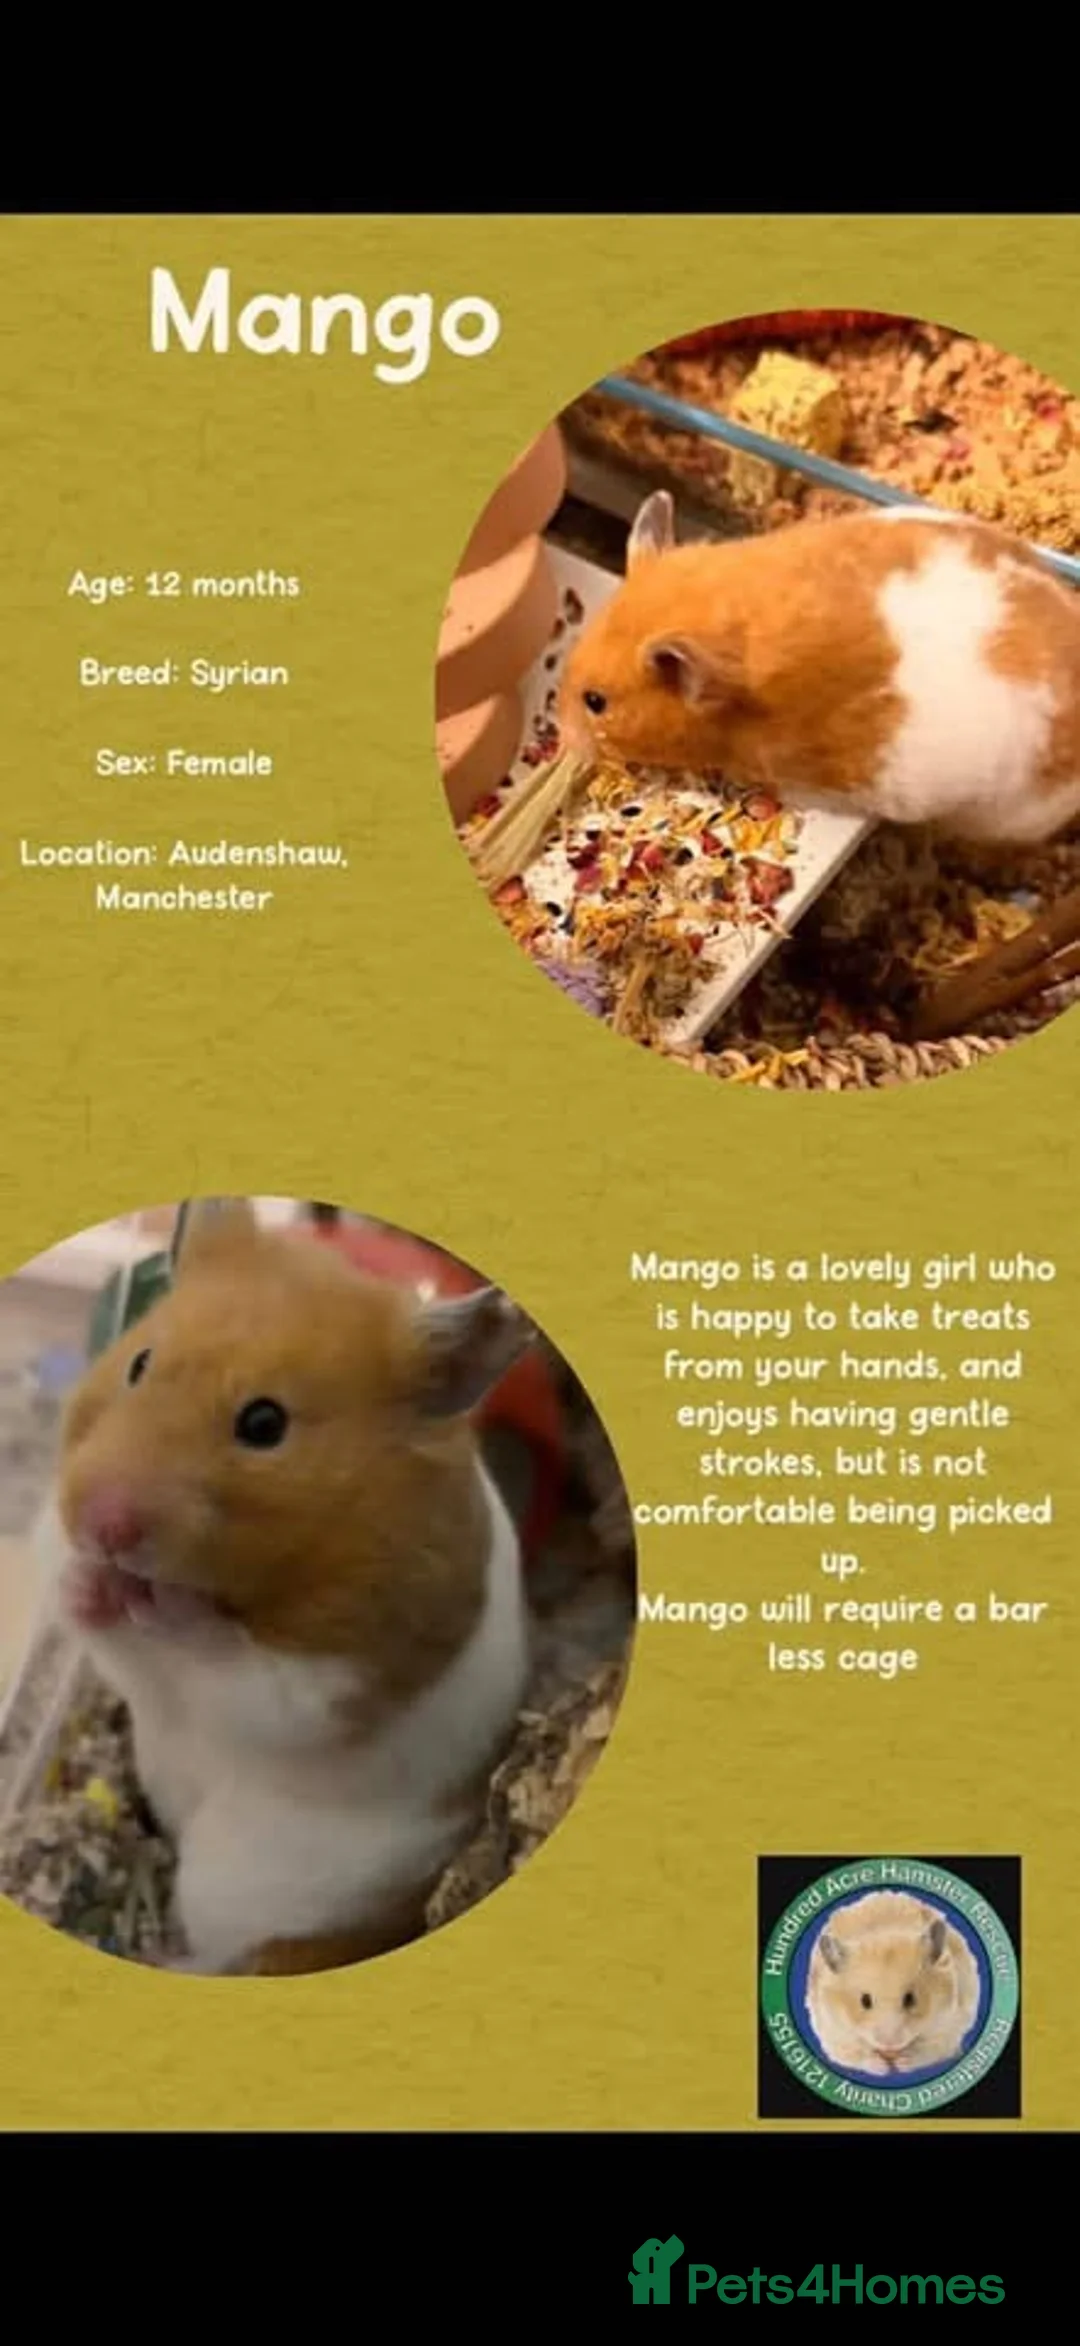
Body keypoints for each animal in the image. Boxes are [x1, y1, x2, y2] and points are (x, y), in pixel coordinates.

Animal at [48, 1199, 534, 1977]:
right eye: (140, 1362)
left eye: (264, 1423)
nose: (103, 1525)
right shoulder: (136, 1671)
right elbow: (105, 1637)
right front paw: (87, 1579)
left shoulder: (331, 1679)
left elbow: (235, 1662)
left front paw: (164, 1602)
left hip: (242, 1892)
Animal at [806, 1890, 981, 2076]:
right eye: (864, 2001)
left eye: (910, 1999)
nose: (890, 2045)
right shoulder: (834, 2034)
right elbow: (857, 2055)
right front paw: (882, 2067)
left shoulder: (949, 2025)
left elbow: (928, 2050)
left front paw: (903, 2062)